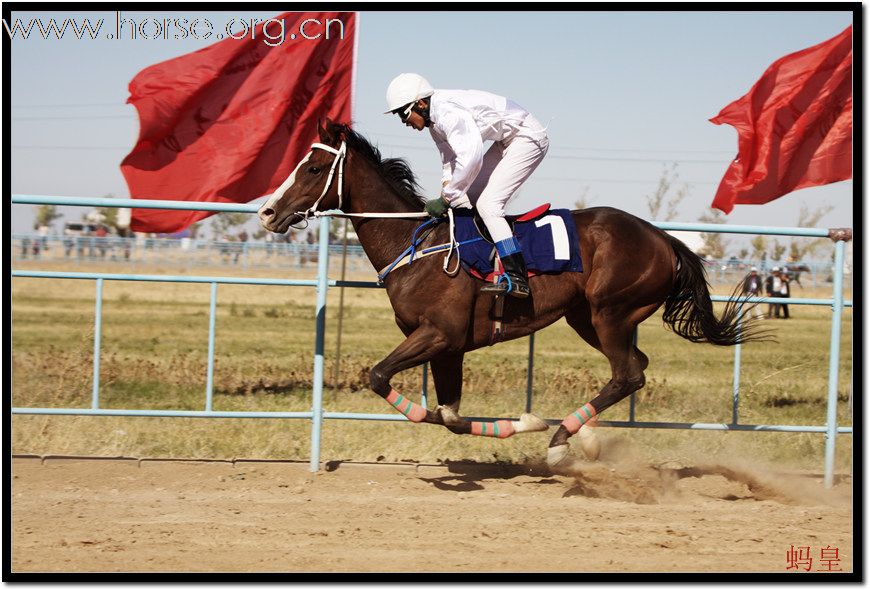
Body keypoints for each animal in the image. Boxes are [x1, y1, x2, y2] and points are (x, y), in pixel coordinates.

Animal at [258, 121, 764, 472]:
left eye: (314, 167)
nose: (266, 212)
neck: (418, 245)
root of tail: (665, 239)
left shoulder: (439, 335)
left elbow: (381, 377)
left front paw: (534, 426)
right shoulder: (449, 348)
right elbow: (449, 414)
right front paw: (524, 422)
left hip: (611, 312)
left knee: (627, 374)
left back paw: (562, 443)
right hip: (588, 318)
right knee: (634, 368)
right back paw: (584, 438)